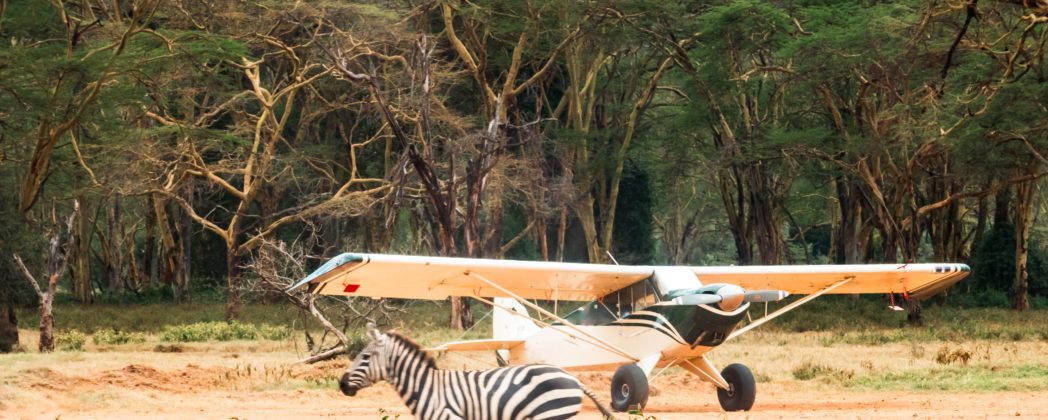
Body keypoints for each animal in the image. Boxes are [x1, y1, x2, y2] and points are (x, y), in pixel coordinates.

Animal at [339, 323, 616, 420]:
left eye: (365, 357)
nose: (341, 384)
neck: (426, 386)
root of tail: (571, 377)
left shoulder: (449, 417)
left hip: (552, 414)